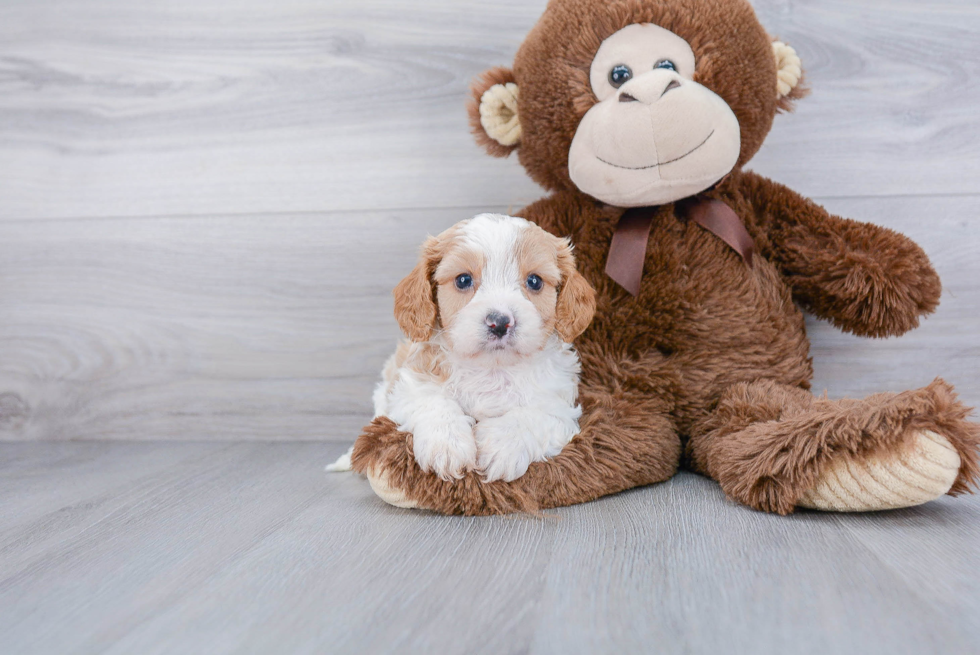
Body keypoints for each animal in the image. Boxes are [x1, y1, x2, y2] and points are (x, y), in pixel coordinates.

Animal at [330, 214, 592, 482]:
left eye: (535, 281)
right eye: (463, 280)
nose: (499, 322)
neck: (491, 368)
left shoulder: (559, 407)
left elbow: (533, 415)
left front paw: (502, 447)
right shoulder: (409, 387)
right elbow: (433, 402)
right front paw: (447, 445)